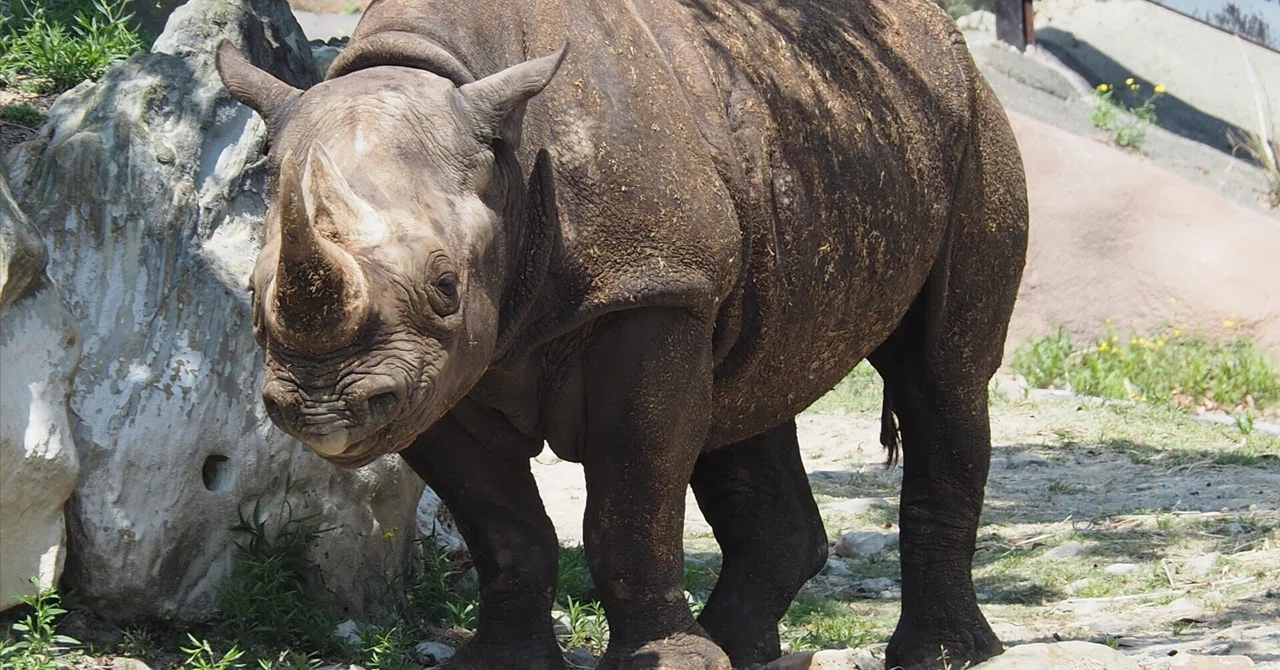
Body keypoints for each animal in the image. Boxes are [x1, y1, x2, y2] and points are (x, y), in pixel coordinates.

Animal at [215, 0, 1028, 667]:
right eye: (252, 293)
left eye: (446, 285)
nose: (322, 406)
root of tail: (937, 32)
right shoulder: (428, 377)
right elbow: (500, 524)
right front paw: (502, 664)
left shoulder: (648, 292)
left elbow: (632, 496)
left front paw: (674, 665)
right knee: (748, 389)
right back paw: (739, 649)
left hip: (969, 122)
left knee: (942, 373)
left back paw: (942, 656)